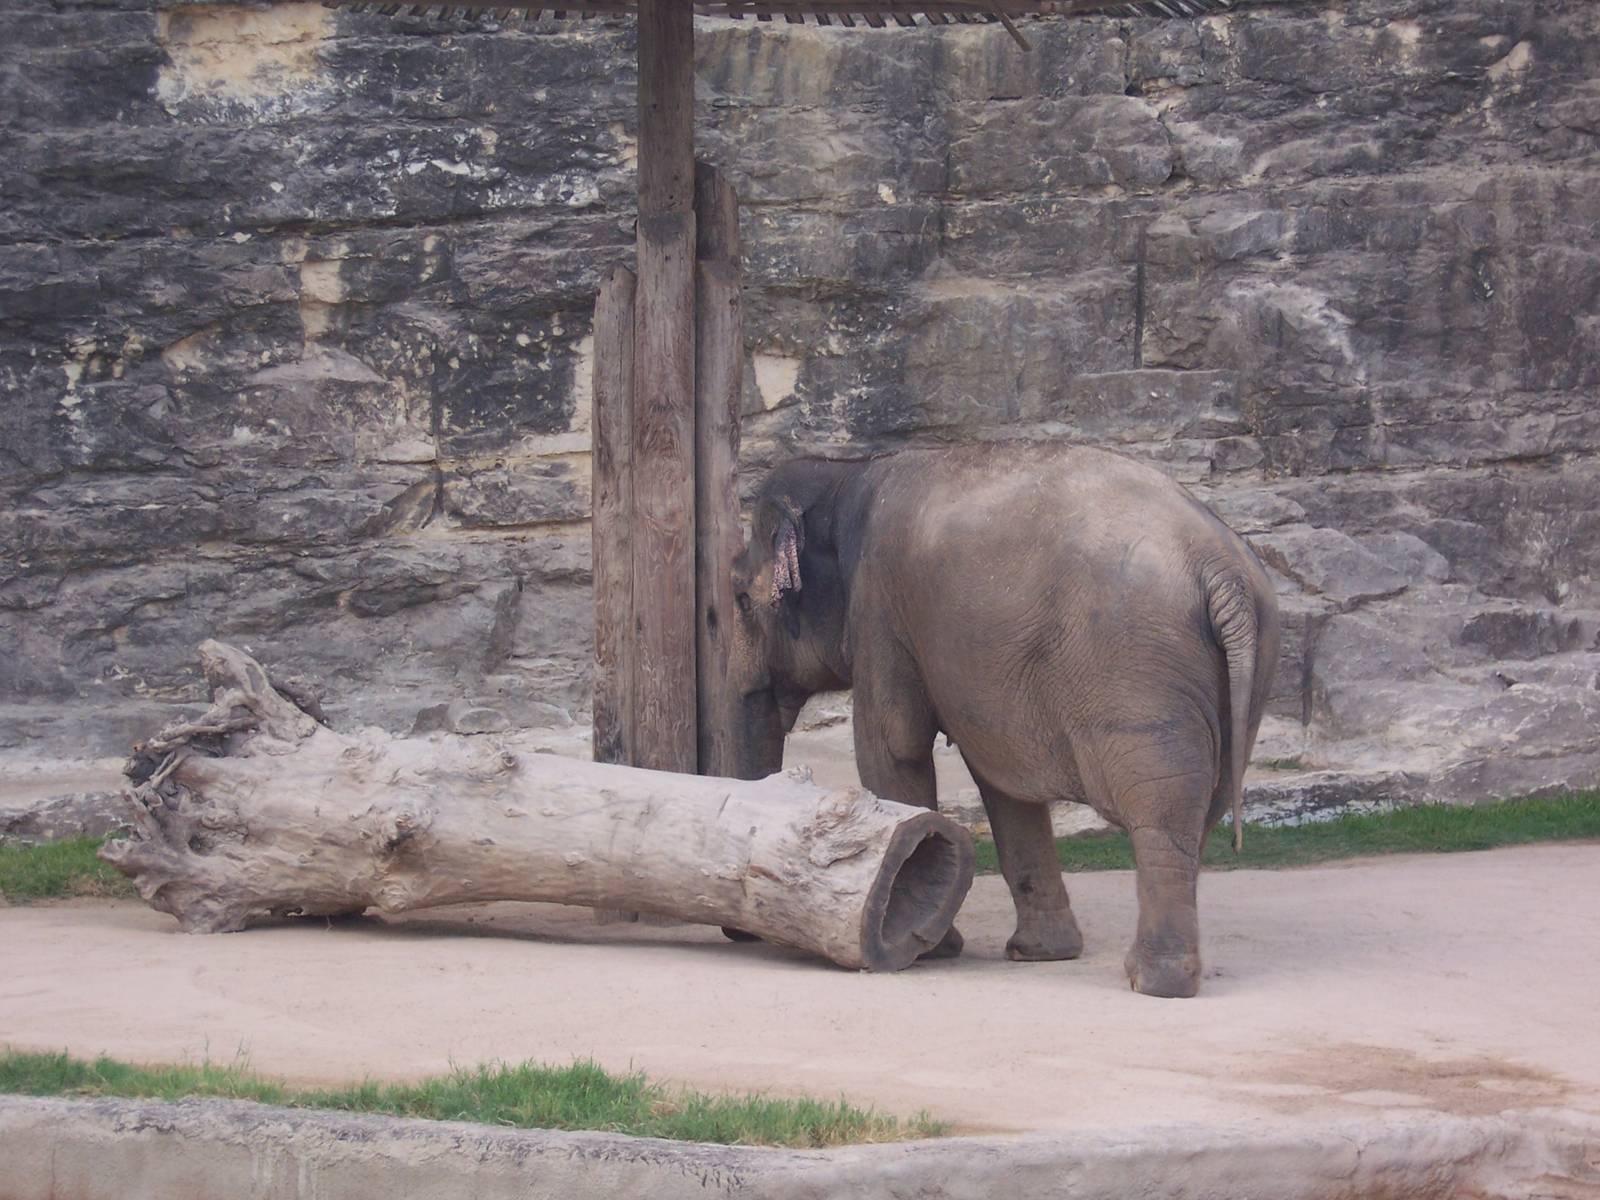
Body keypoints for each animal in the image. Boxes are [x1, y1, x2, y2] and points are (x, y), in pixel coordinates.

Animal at [723, 442, 1280, 998]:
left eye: (741, 600)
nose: (741, 934)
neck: (847, 474)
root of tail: (1221, 570)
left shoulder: (880, 610)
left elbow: (892, 747)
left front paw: (928, 946)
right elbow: (1002, 781)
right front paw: (1038, 954)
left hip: (1137, 671)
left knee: (1160, 807)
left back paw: (1153, 981)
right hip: (1241, 677)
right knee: (1201, 807)